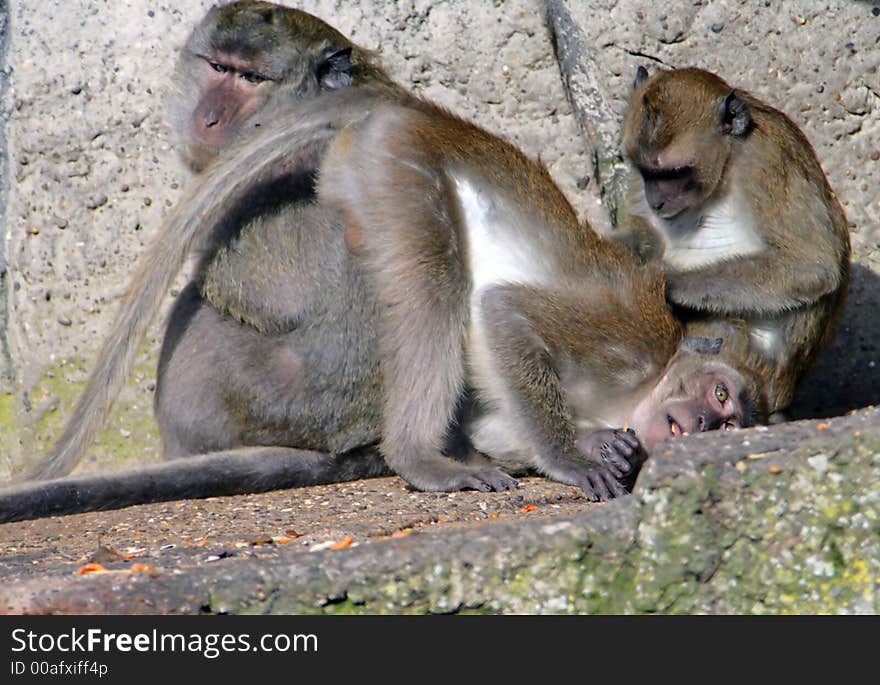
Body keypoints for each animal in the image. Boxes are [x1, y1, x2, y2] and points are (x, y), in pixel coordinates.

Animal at [616, 67, 848, 416]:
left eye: (675, 173)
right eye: (645, 171)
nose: (656, 201)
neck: (726, 164)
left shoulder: (765, 162)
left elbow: (810, 265)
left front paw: (667, 283)